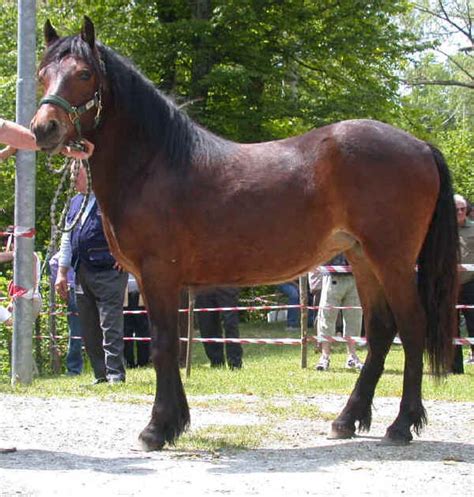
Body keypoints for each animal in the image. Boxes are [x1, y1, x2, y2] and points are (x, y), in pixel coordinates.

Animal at [30, 17, 460, 450]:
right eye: (42, 74)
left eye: (84, 74)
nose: (43, 128)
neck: (155, 164)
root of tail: (420, 145)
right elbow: (172, 344)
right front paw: (175, 422)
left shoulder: (157, 273)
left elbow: (163, 344)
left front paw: (157, 428)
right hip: (361, 257)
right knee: (382, 329)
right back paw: (347, 419)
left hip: (392, 259)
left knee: (412, 327)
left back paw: (402, 424)